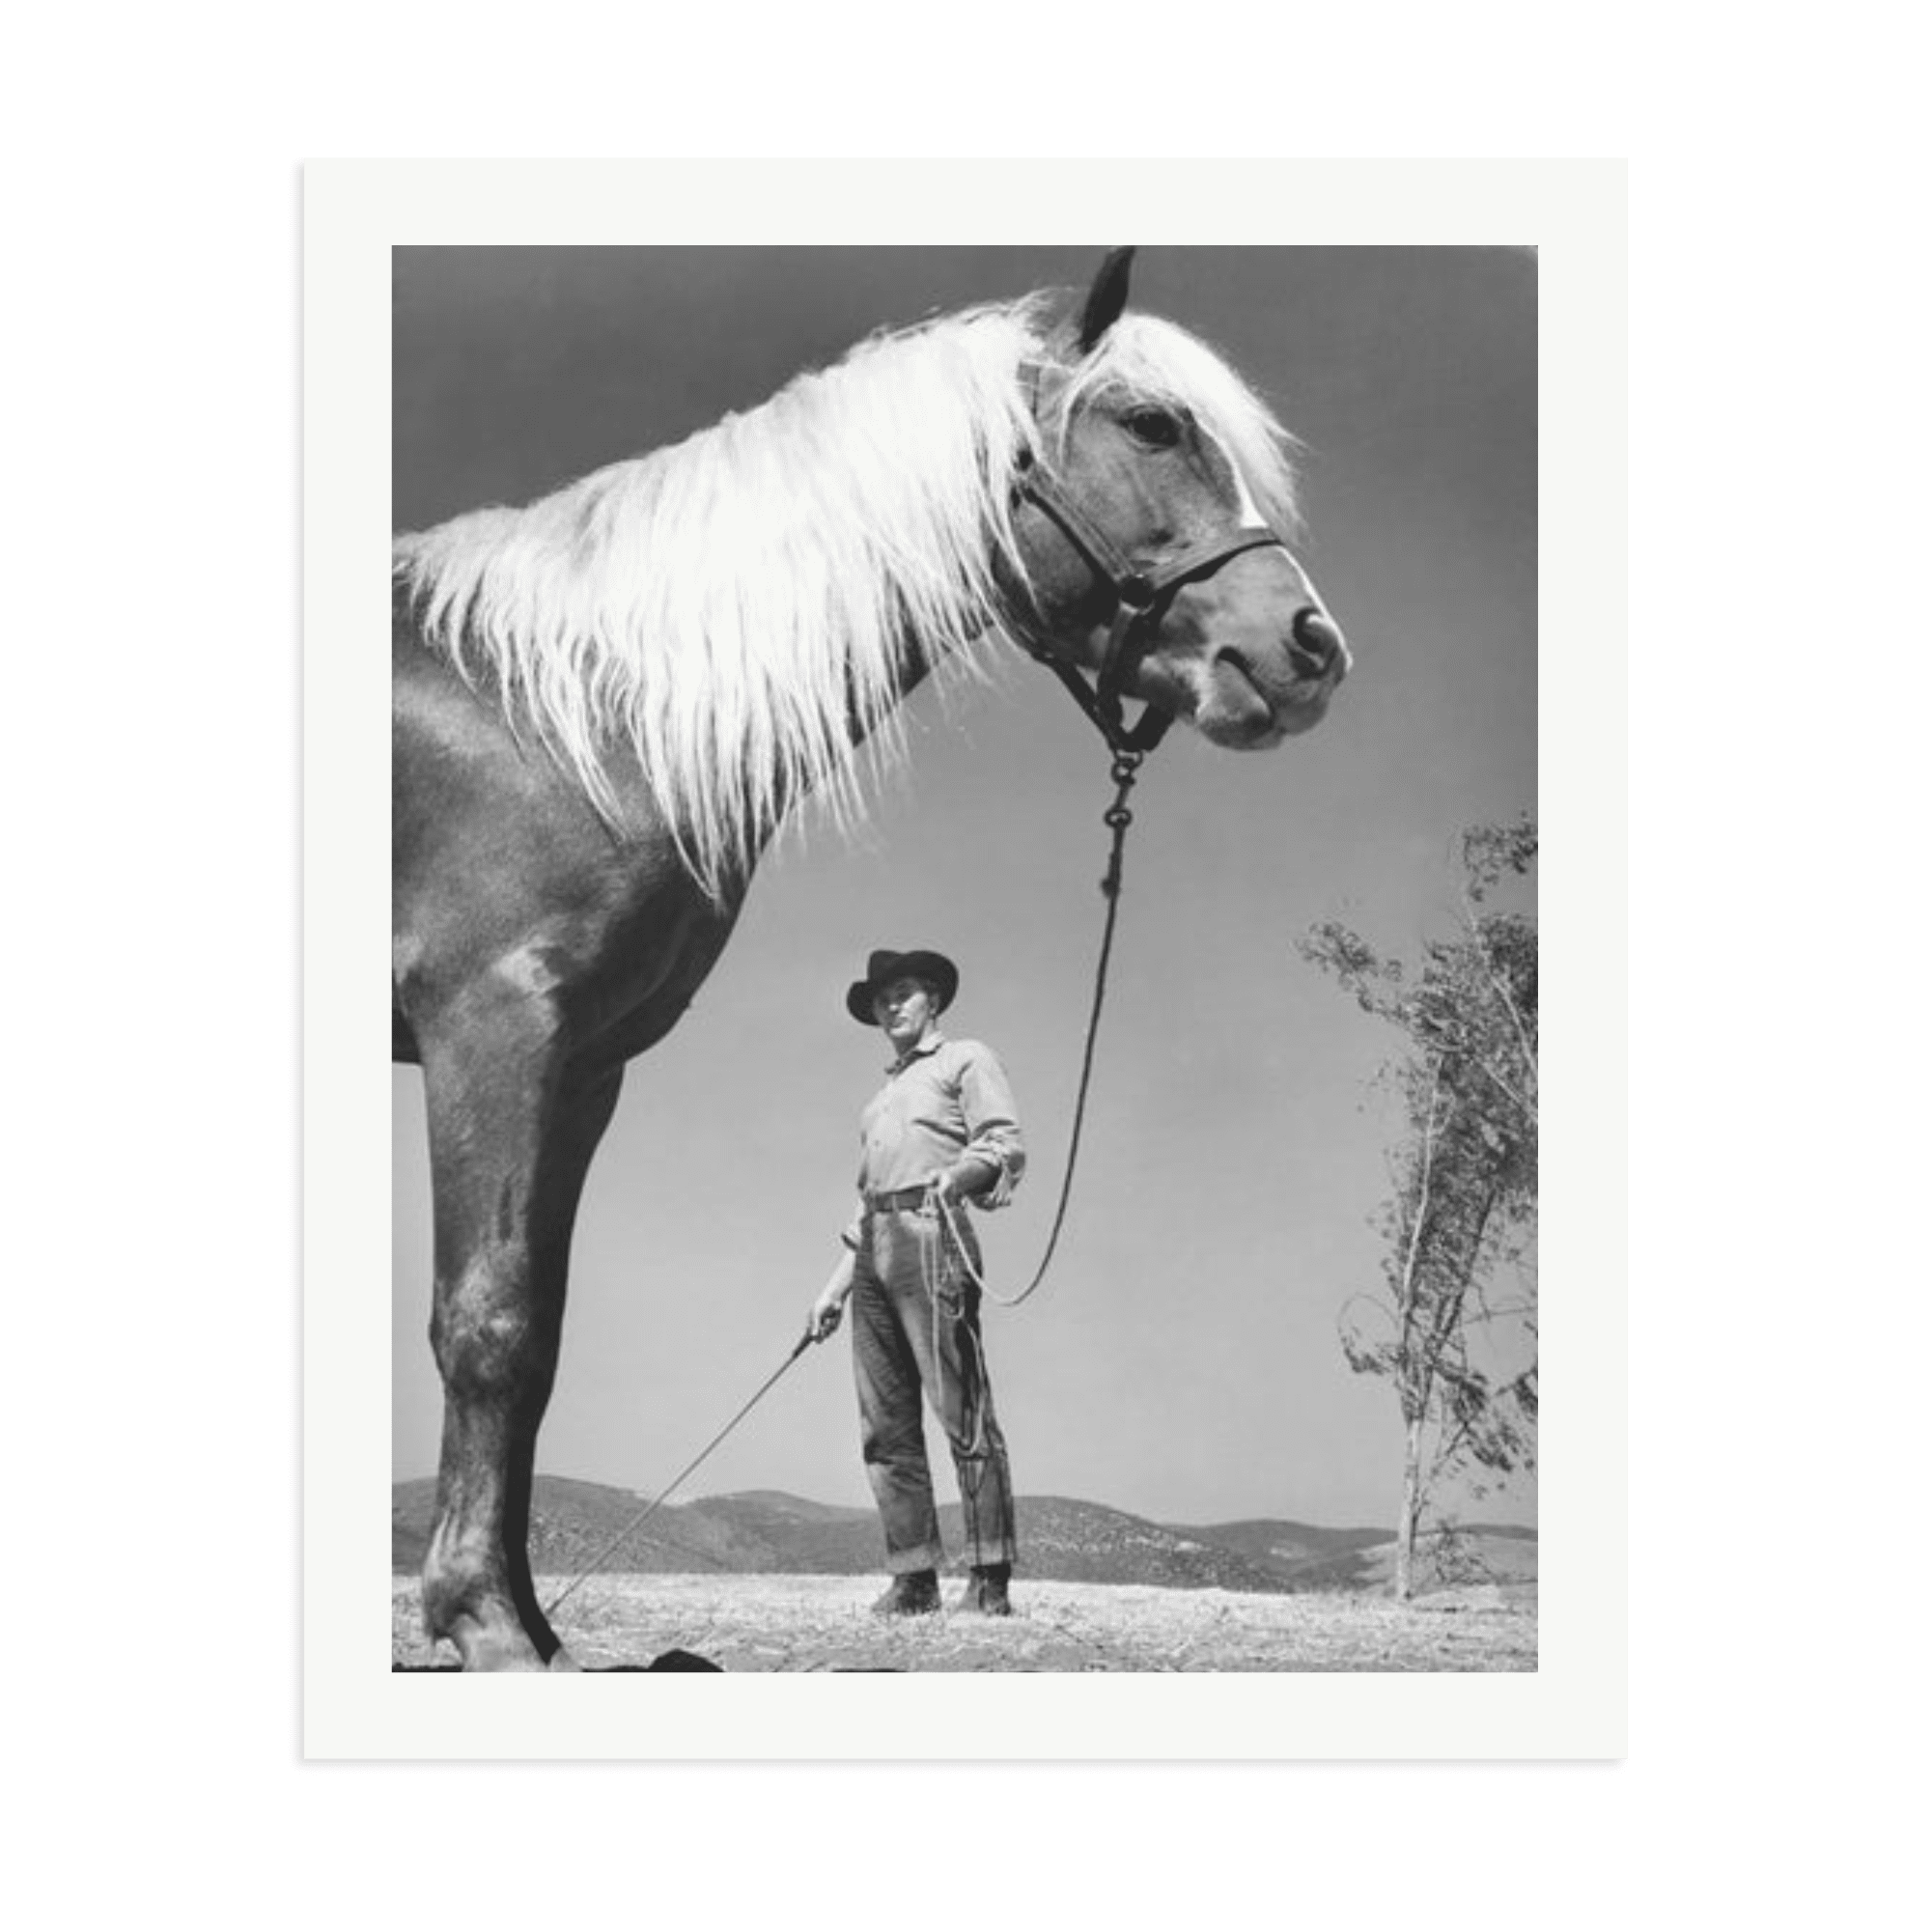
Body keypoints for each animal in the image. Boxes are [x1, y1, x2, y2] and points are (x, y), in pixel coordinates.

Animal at [392, 249, 1350, 1670]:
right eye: (1151, 424)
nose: (1309, 650)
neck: (558, 709)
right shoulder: (490, 1029)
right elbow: (490, 1322)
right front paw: (485, 1625)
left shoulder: (584, 1066)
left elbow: (543, 1336)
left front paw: (526, 1621)